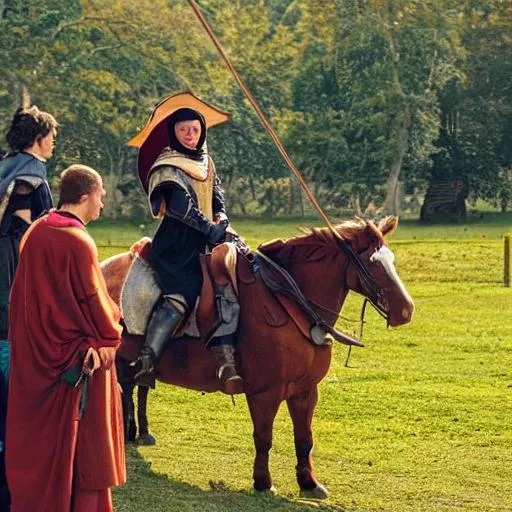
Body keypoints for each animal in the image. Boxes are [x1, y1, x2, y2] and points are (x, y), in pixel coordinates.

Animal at [100, 217, 412, 500]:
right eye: (373, 262)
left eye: (392, 260)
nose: (406, 310)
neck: (292, 303)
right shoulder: (265, 393)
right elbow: (264, 438)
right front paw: (263, 482)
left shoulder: (305, 391)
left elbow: (304, 438)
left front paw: (309, 483)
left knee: (136, 383)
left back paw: (138, 431)